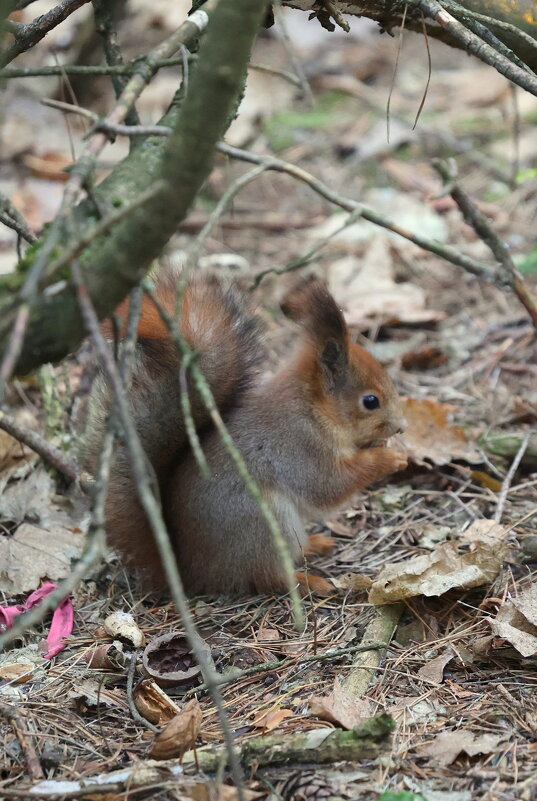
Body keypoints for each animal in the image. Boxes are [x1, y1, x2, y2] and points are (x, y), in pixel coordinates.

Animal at [82, 268, 406, 592]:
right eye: (370, 401)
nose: (401, 428)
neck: (313, 411)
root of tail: (191, 571)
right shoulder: (300, 447)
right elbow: (328, 485)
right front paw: (389, 459)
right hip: (262, 524)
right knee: (268, 575)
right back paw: (308, 580)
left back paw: (314, 544)